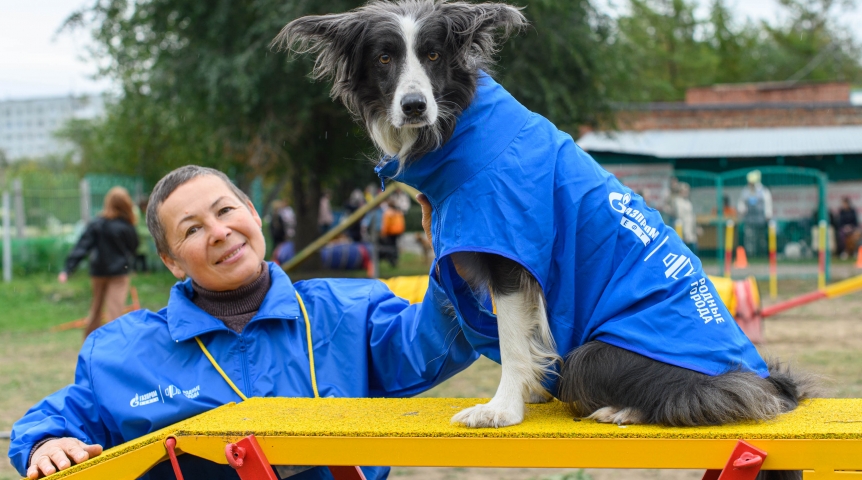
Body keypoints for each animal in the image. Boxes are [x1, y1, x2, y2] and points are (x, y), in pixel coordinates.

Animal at [276, 0, 816, 462]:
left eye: (432, 55)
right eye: (385, 57)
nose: (413, 106)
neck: (461, 128)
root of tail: (762, 379)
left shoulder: (513, 255)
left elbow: (513, 341)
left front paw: (501, 409)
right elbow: (532, 332)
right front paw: (531, 391)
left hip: (595, 355)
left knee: (695, 398)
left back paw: (624, 408)